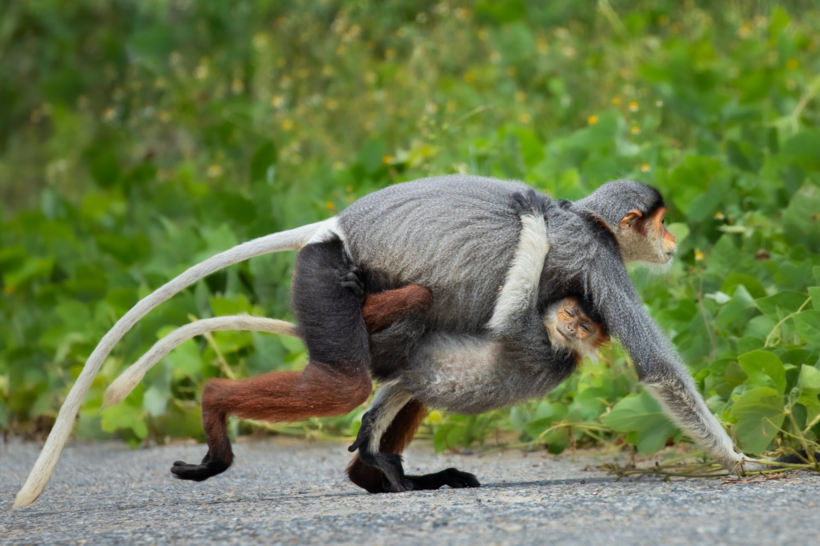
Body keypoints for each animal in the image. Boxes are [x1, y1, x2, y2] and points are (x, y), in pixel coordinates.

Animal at [14, 176, 764, 508]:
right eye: (659, 223)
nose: (673, 242)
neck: (580, 215)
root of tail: (331, 227)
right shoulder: (599, 260)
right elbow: (657, 368)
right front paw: (743, 460)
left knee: (405, 353)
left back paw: (383, 469)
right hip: (324, 276)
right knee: (348, 376)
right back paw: (219, 408)